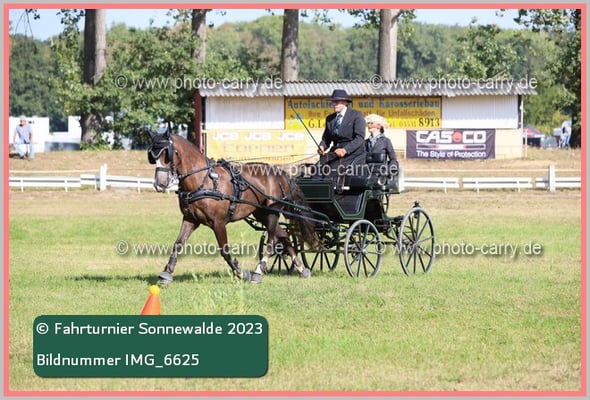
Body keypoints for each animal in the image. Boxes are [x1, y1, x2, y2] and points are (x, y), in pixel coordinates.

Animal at [146, 128, 317, 284]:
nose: (160, 183)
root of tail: (282, 174)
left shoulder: (218, 223)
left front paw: (241, 273)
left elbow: (225, 250)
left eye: (167, 153)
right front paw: (166, 273)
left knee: (272, 240)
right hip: (262, 213)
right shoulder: (190, 219)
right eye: (152, 156)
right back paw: (301, 269)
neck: (204, 180)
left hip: (273, 212)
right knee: (283, 236)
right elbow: (178, 244)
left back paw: (257, 272)